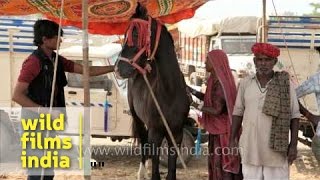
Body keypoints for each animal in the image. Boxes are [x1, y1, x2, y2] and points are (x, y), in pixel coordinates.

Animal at [115, 3, 190, 180]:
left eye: (136, 34)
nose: (118, 69)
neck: (170, 92)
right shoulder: (155, 132)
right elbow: (155, 169)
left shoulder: (176, 134)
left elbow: (171, 171)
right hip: (138, 118)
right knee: (144, 144)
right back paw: (142, 171)